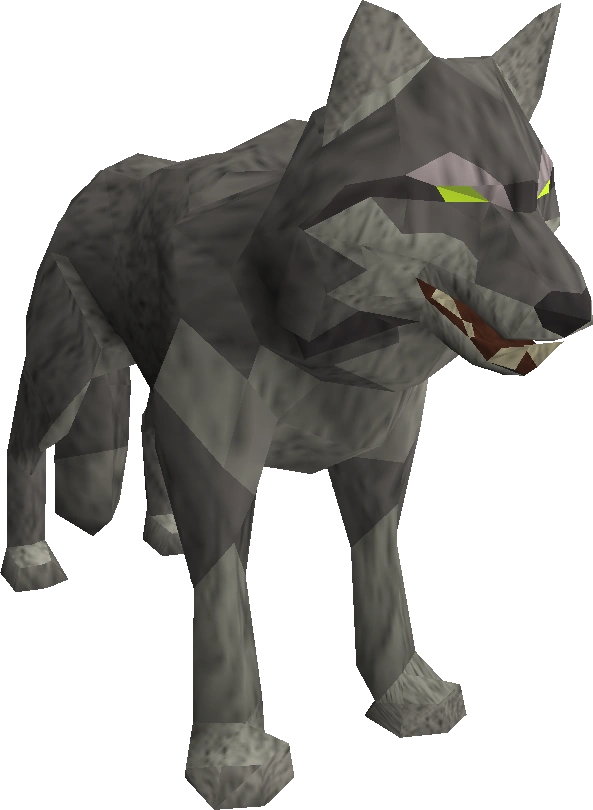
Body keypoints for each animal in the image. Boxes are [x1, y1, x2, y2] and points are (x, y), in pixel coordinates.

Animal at [3, 2, 591, 807]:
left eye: (541, 196)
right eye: (460, 196)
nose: (574, 308)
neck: (322, 339)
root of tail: (97, 177)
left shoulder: (375, 463)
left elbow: (383, 584)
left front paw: (405, 695)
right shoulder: (217, 456)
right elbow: (224, 608)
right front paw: (233, 758)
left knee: (147, 443)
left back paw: (165, 531)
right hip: (64, 377)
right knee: (25, 447)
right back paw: (29, 556)